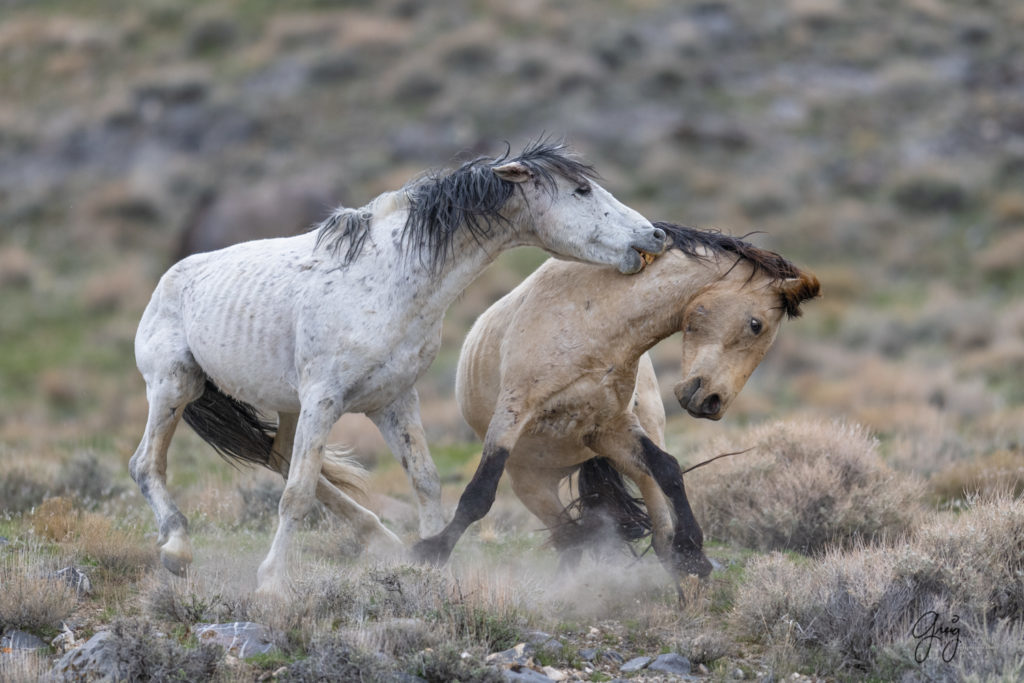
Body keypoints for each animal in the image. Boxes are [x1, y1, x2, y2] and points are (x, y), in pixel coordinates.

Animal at [130, 140, 663, 598]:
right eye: (581, 190)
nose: (654, 234)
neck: (390, 278)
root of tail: (169, 278)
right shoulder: (324, 398)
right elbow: (297, 494)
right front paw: (272, 586)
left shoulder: (393, 400)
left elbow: (424, 481)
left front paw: (427, 568)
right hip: (175, 387)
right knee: (147, 464)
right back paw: (177, 550)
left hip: (285, 405)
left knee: (279, 457)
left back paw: (382, 541)